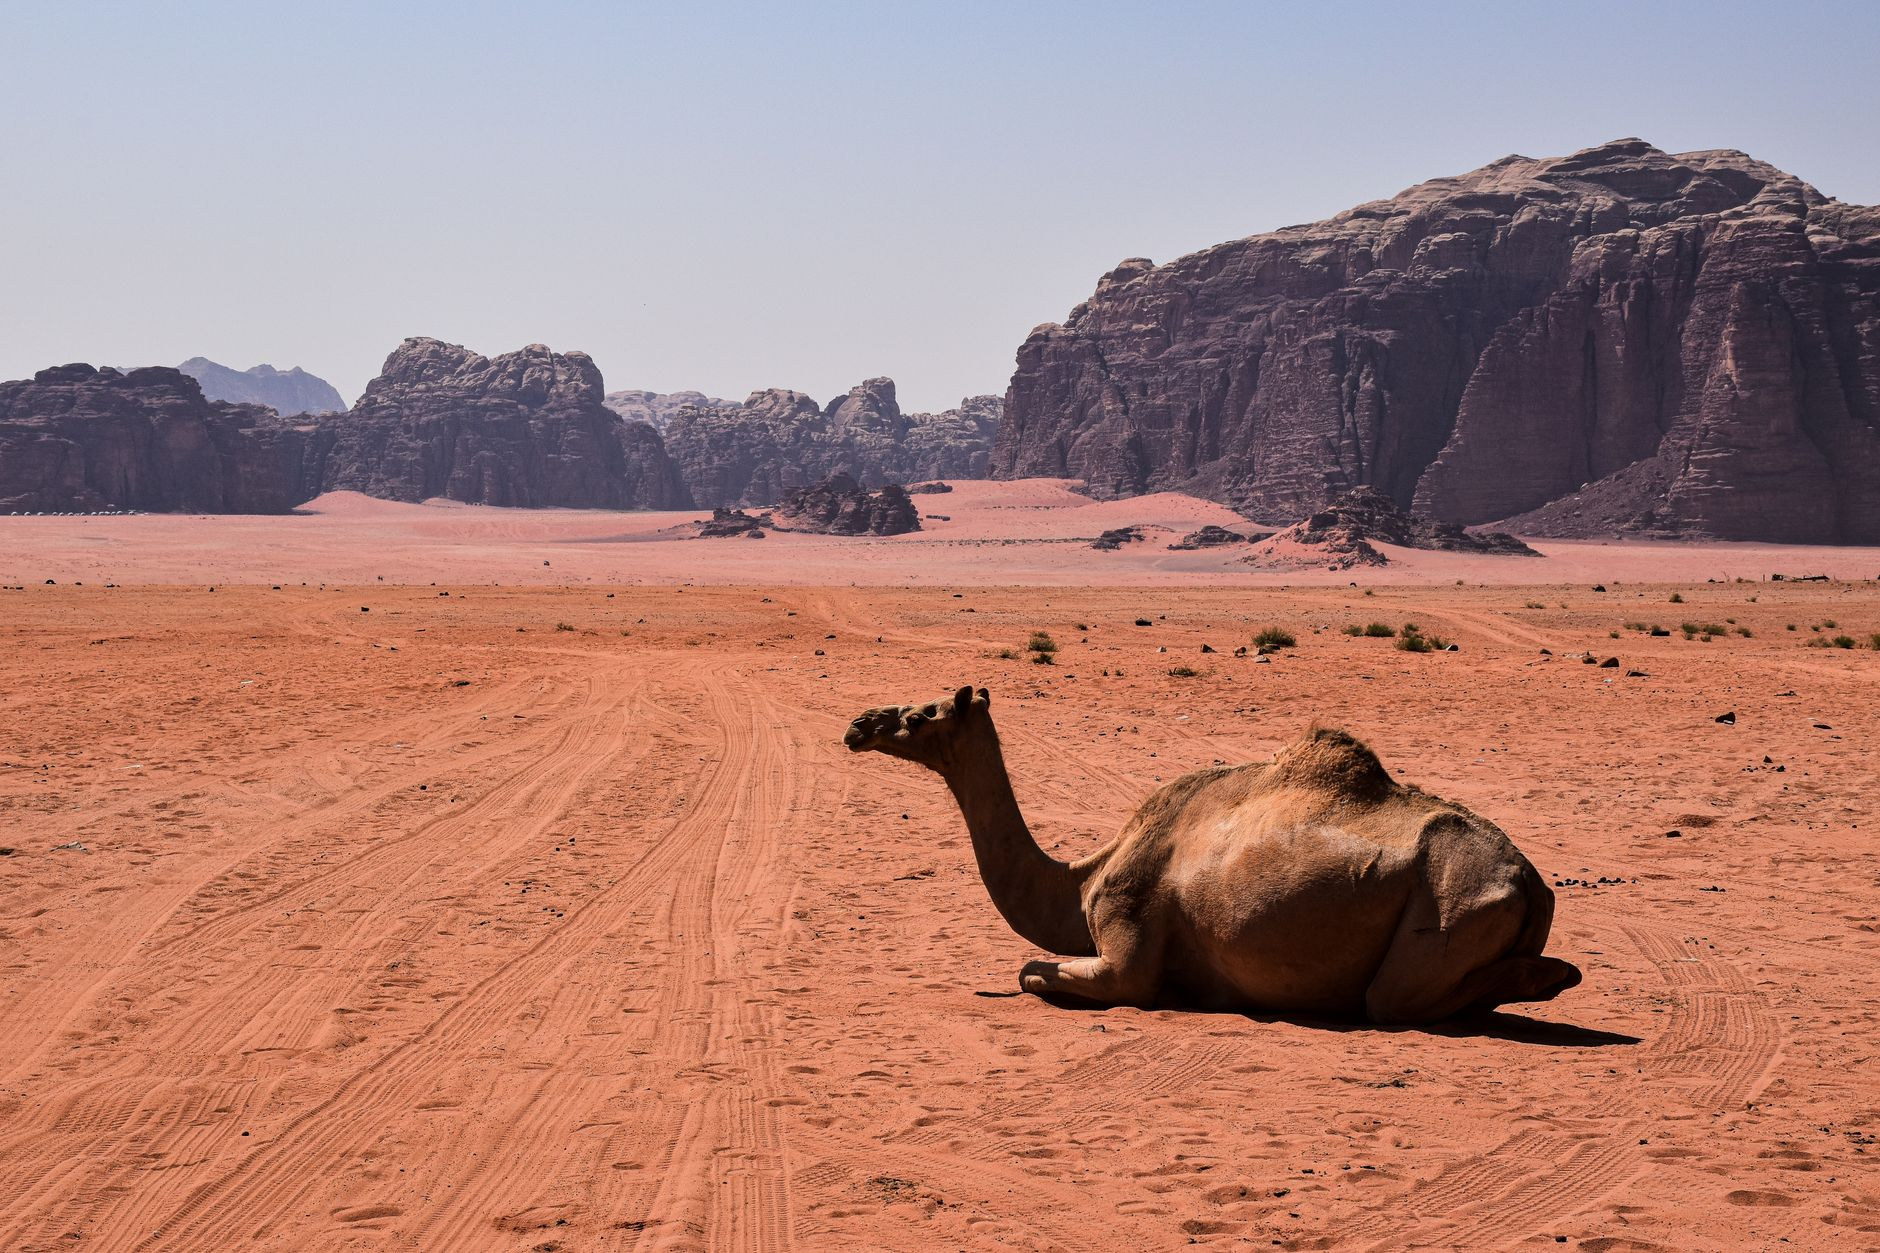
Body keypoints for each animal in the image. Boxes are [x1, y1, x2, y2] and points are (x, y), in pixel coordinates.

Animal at [844, 686, 1580, 1024]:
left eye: (922, 714)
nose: (858, 724)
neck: (1084, 880)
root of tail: (1533, 883)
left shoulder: (1127, 952)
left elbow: (1034, 971)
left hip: (1447, 911)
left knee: (1392, 998)